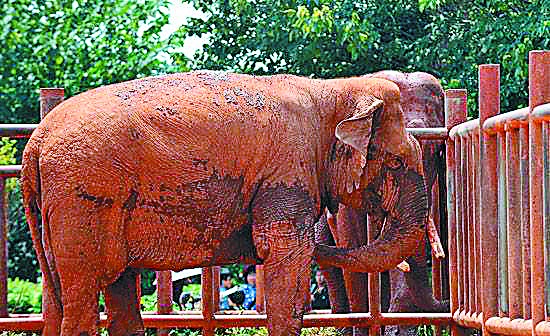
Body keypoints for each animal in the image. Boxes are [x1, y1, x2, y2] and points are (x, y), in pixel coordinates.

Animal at [22, 69, 432, 334]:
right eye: (396, 162)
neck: (331, 91)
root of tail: (35, 142)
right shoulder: (286, 171)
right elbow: (285, 254)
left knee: (104, 293)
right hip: (83, 200)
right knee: (84, 295)